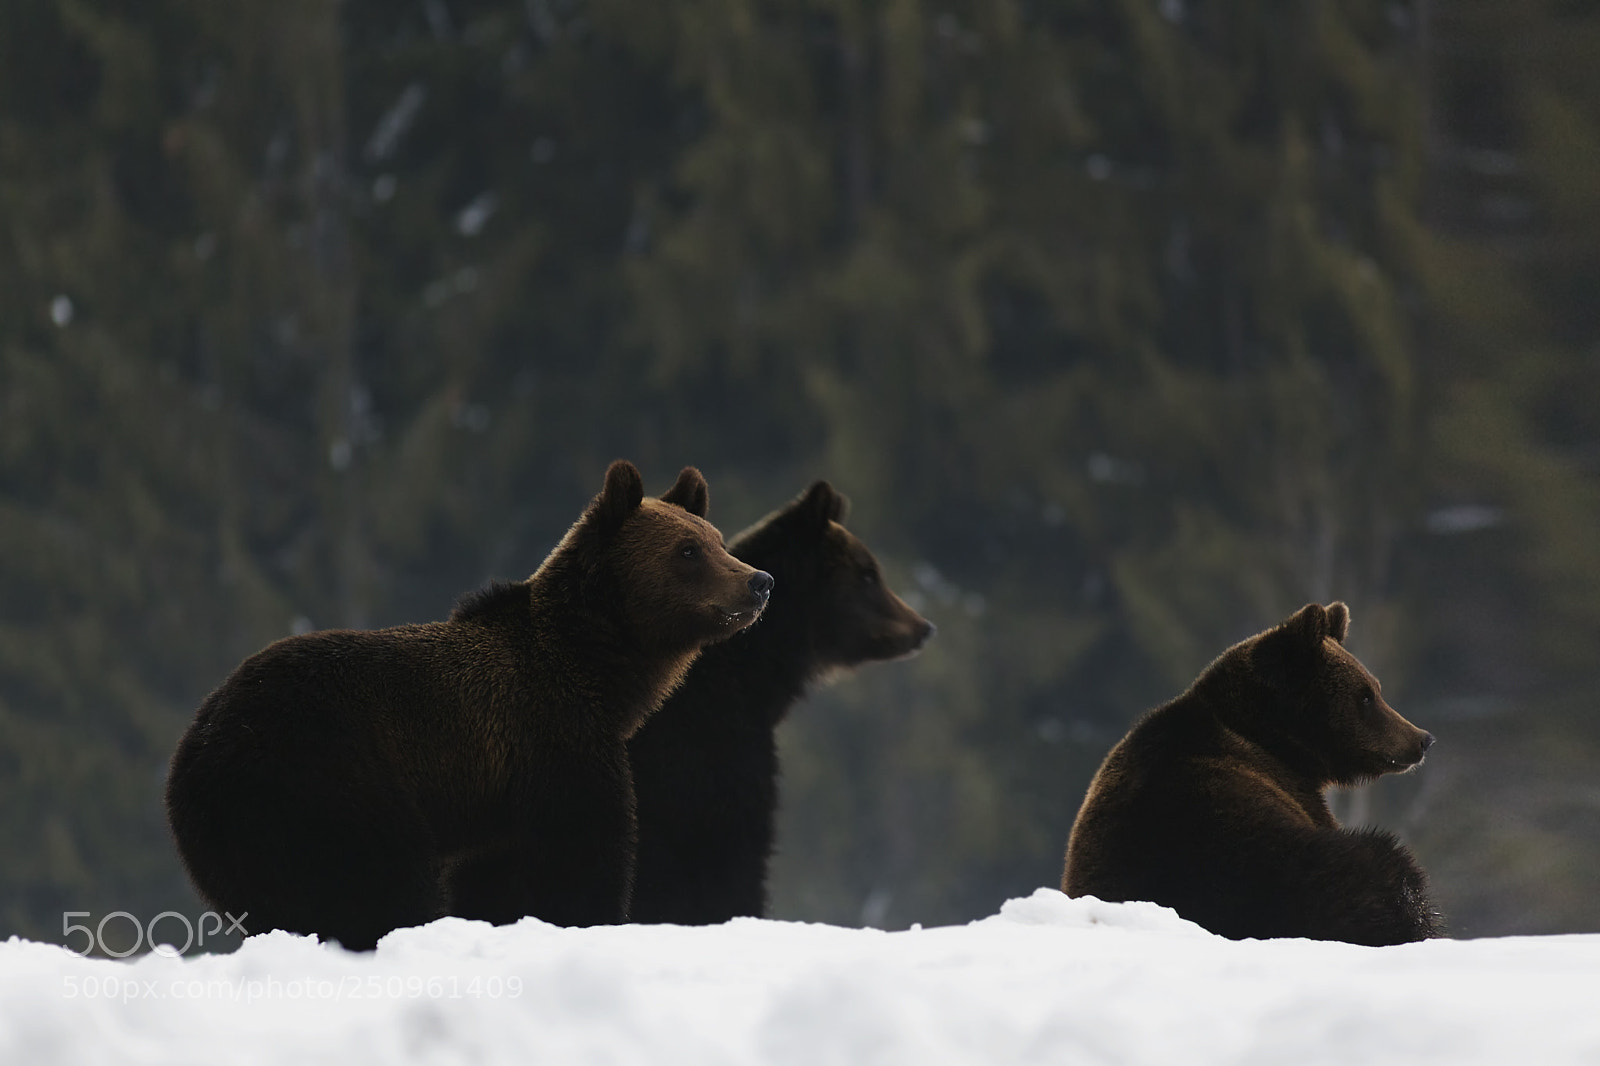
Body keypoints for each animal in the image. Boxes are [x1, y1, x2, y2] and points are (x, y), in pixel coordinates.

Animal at [165, 460, 774, 950]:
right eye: (688, 551)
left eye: (717, 538)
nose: (759, 581)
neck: (595, 673)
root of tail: (201, 741)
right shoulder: (553, 745)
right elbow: (582, 854)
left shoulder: (499, 802)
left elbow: (498, 878)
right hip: (330, 779)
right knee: (378, 886)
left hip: (235, 834)